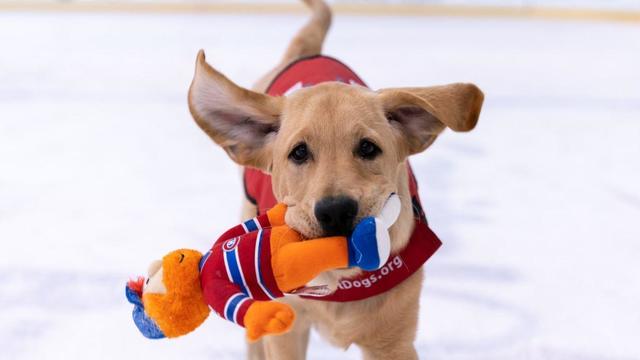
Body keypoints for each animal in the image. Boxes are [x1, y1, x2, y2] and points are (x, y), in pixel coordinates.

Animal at [188, 0, 482, 360]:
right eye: (299, 153)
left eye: (368, 148)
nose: (335, 211)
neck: (342, 280)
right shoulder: (287, 333)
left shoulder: (393, 342)